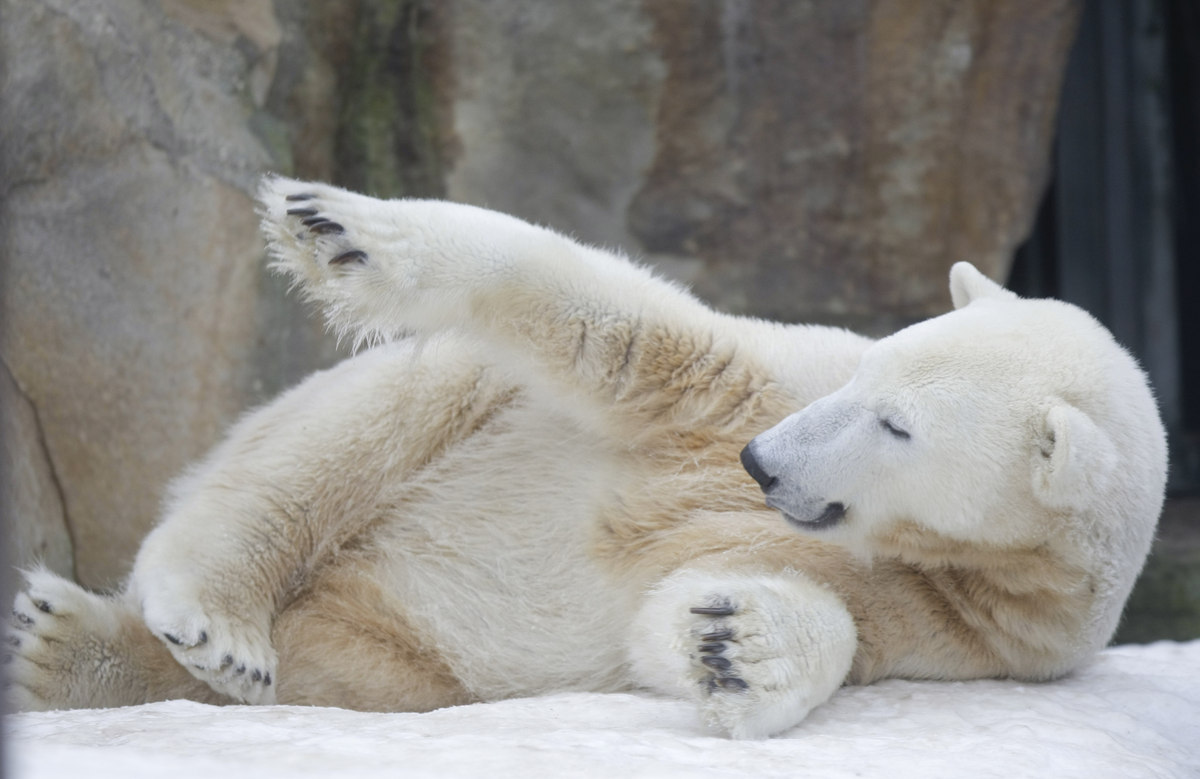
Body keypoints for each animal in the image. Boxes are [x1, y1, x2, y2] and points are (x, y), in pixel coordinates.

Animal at [4, 176, 1166, 734]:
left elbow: (698, 612)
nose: (760, 463)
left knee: (355, 671)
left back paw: (69, 649)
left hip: (399, 654)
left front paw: (736, 643)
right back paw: (212, 616)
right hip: (430, 415)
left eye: (899, 428)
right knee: (355, 431)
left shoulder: (973, 618)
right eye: (869, 375)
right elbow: (624, 333)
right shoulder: (765, 377)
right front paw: (343, 228)